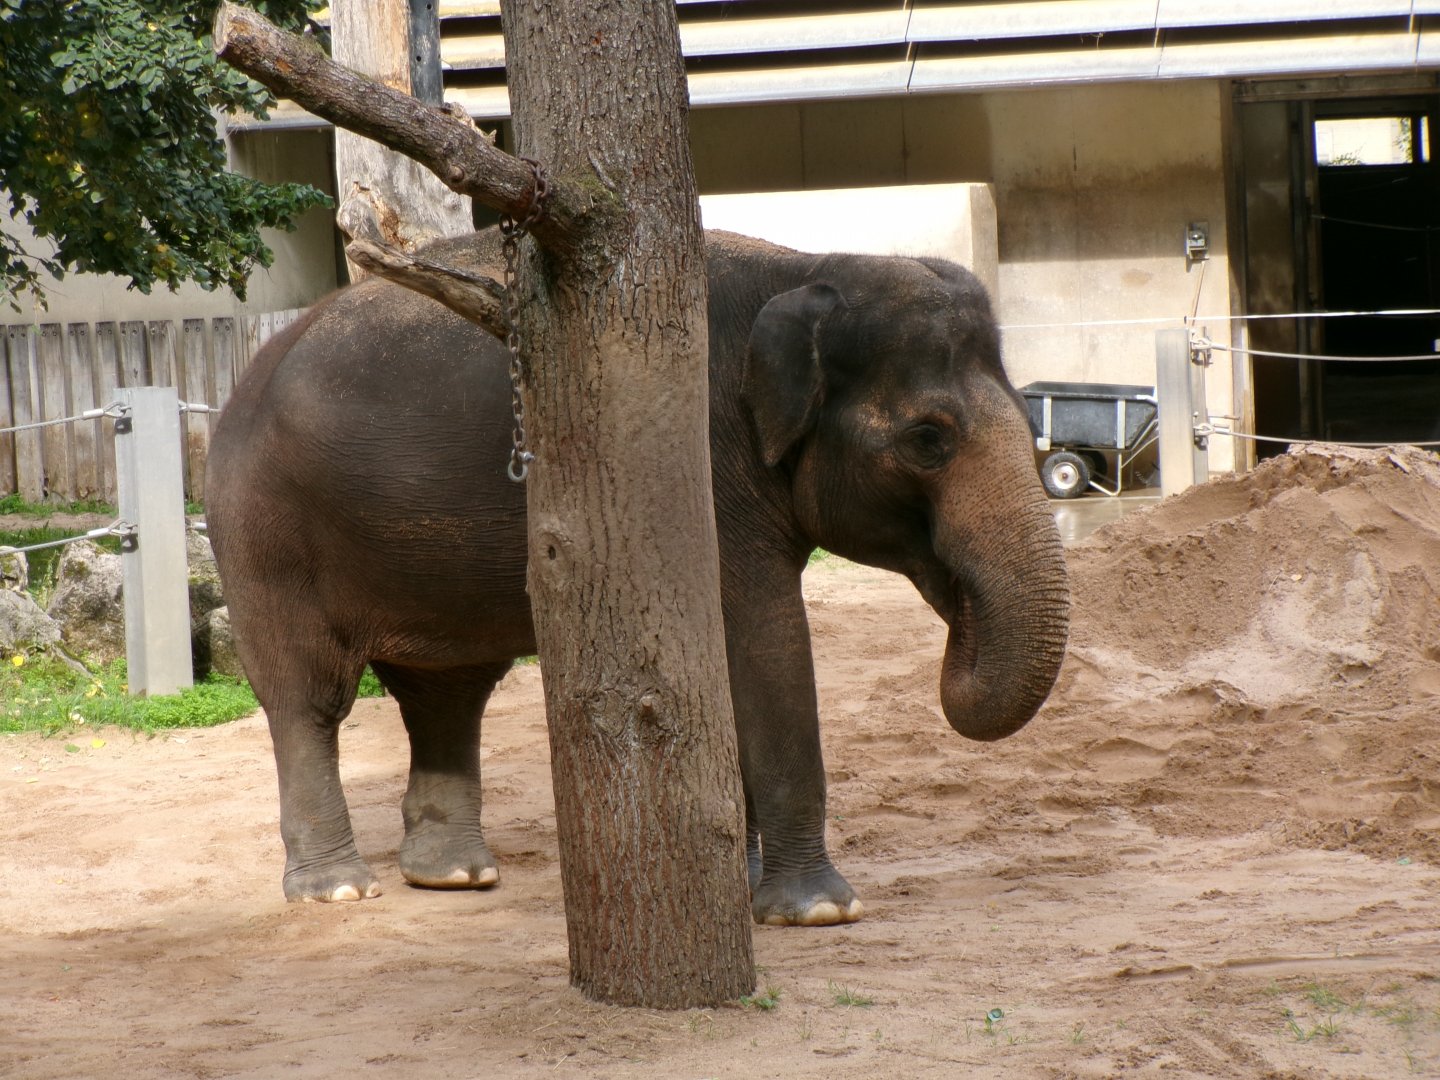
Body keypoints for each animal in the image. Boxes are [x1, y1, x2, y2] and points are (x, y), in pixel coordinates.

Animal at [205, 228, 1070, 927]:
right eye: (928, 439)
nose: (956, 615)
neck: (807, 265)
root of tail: (243, 378)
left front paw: (738, 885)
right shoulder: (695, 468)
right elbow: (763, 642)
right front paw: (819, 912)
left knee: (449, 692)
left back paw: (455, 877)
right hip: (262, 531)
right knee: (308, 697)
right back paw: (339, 891)